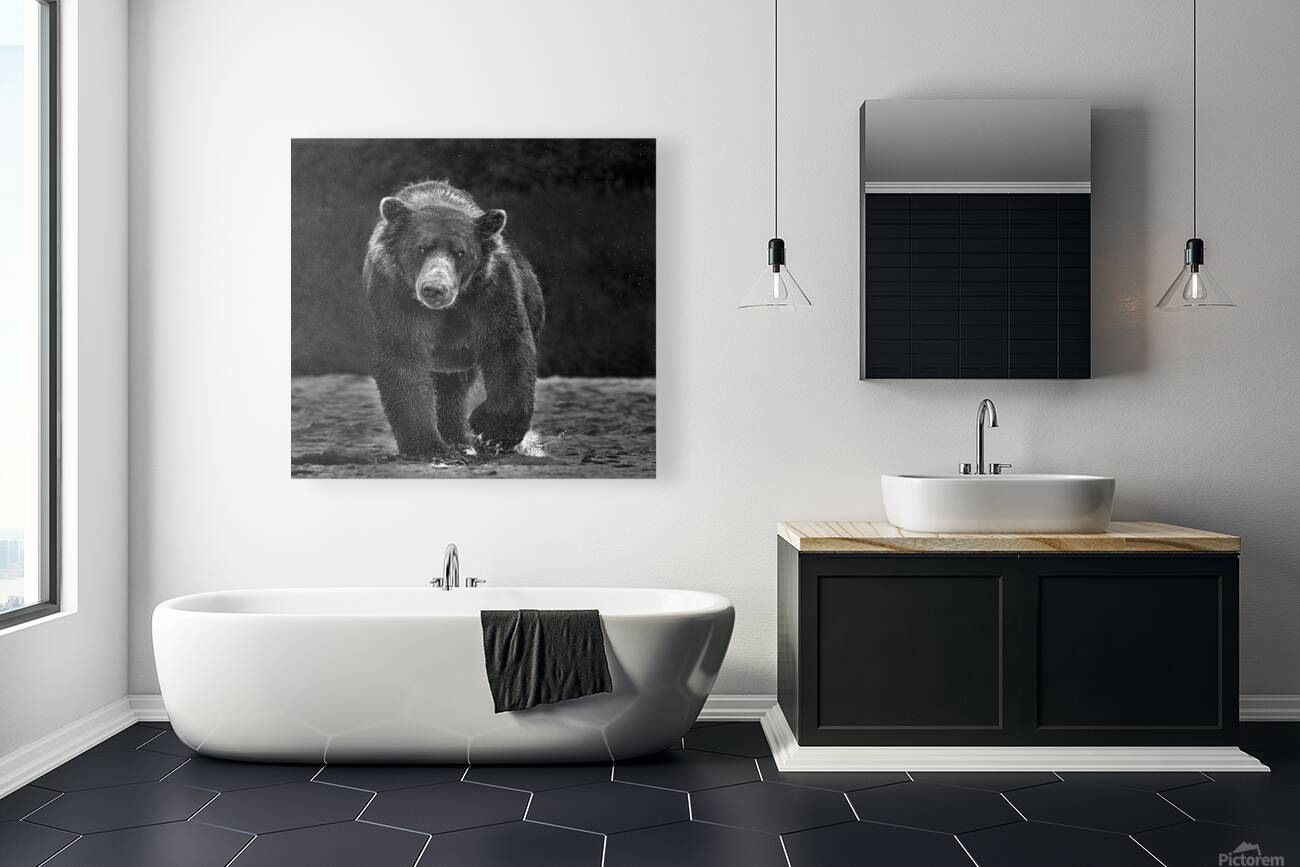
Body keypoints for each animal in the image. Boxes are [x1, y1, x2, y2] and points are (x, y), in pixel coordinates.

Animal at [362, 180, 545, 460]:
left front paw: (490, 431)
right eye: (421, 248)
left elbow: (508, 347)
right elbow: (402, 358)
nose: (435, 289)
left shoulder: (489, 292)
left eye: (460, 252)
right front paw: (428, 447)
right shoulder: (394, 294)